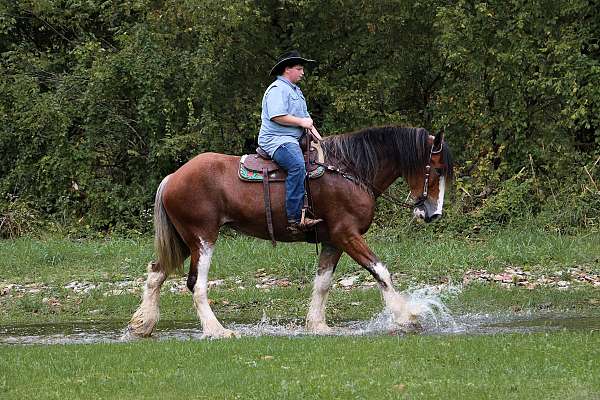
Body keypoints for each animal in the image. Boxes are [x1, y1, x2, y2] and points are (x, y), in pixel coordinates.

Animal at [127, 126, 454, 340]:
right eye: (437, 170)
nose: (433, 213)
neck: (350, 171)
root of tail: (173, 177)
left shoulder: (333, 240)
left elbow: (323, 283)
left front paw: (318, 325)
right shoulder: (347, 235)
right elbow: (381, 271)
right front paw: (407, 316)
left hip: (184, 241)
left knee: (156, 273)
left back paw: (143, 325)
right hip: (202, 239)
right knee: (197, 284)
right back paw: (216, 330)